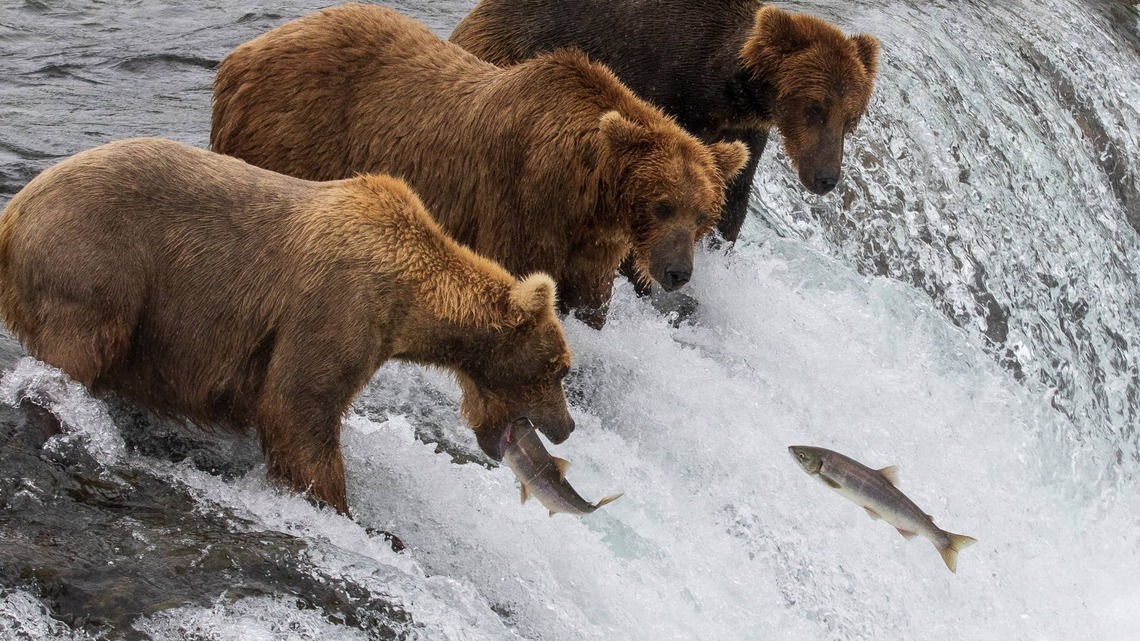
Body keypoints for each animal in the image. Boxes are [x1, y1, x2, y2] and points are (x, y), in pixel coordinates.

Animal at [0, 137, 575, 515]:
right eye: (560, 368)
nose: (567, 426)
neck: (408, 299)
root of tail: (14, 211)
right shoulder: (337, 305)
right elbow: (299, 405)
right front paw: (342, 508)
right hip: (96, 265)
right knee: (81, 349)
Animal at [210, 3, 749, 329]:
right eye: (662, 205)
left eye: (702, 216)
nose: (678, 272)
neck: (585, 195)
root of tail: (236, 59)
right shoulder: (522, 206)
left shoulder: (593, 246)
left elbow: (589, 302)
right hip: (290, 135)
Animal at [450, 0, 881, 244]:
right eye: (815, 108)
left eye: (851, 118)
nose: (826, 177)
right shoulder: (664, 85)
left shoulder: (746, 130)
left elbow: (732, 197)